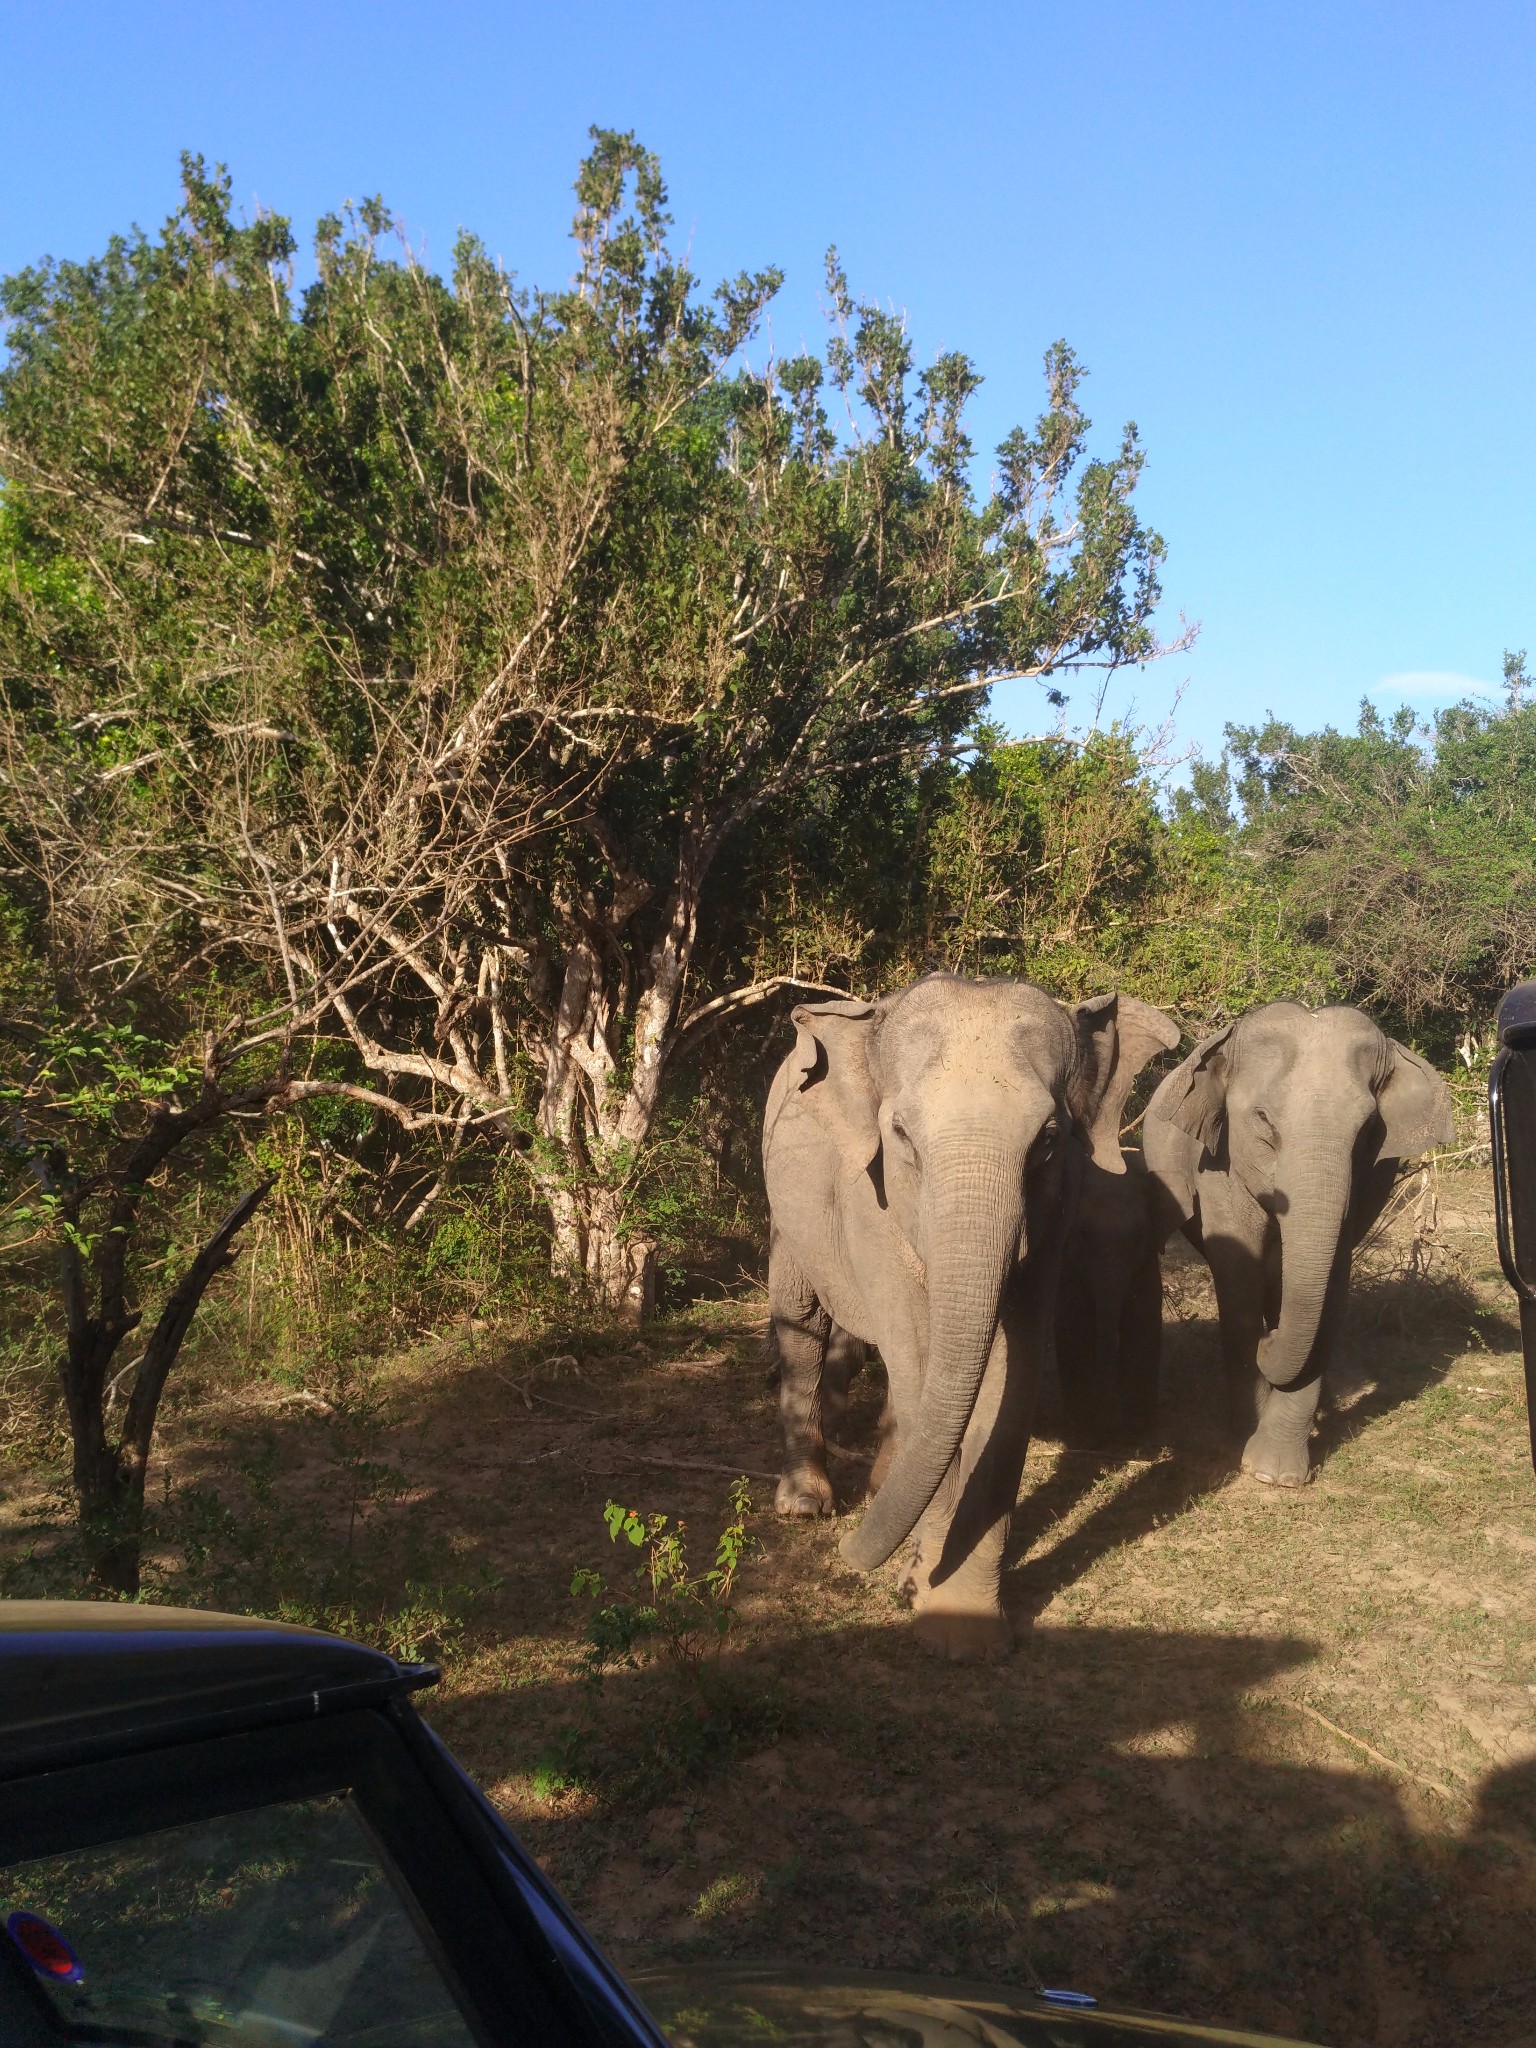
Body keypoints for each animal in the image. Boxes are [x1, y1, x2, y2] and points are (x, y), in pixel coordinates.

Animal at [765, 966, 1179, 1654]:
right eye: (901, 1135)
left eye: (1048, 1139)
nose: (852, 1556)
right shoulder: (870, 1204)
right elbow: (917, 1358)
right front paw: (928, 1598)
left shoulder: (1056, 1212)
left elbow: (1009, 1378)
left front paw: (967, 1629)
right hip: (784, 1211)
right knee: (802, 1325)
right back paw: (805, 1505)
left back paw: (878, 1490)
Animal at [1146, 1003, 1458, 1490]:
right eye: (1262, 1118)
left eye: (1369, 1127)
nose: (1269, 1341)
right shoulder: (1216, 1164)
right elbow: (1238, 1277)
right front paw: (1247, 1436)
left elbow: (1331, 1287)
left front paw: (1275, 1474)